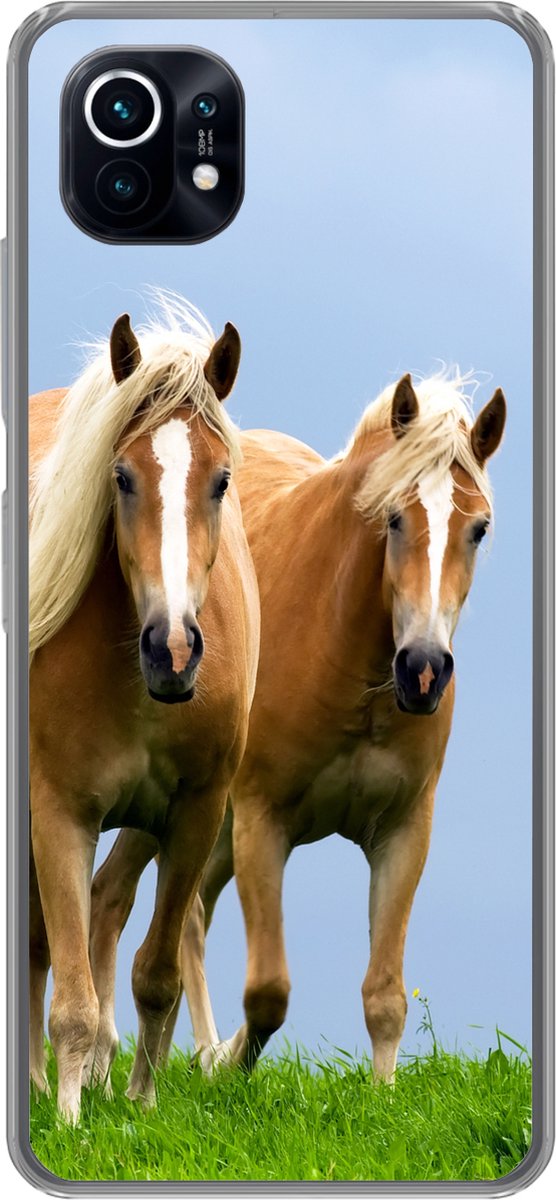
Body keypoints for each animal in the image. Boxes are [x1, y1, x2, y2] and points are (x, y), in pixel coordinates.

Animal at [28, 296, 260, 1122]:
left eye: (221, 481)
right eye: (121, 477)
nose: (174, 649)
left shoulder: (195, 815)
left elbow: (157, 974)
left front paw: (140, 1106)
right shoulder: (57, 812)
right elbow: (71, 997)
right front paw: (67, 1122)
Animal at [88, 370, 506, 1084]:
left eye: (476, 529)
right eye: (393, 517)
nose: (423, 670)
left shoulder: (404, 832)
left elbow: (385, 996)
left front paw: (383, 1094)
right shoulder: (262, 822)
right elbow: (268, 992)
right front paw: (229, 1063)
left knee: (161, 907)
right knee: (141, 906)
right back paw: (154, 1059)